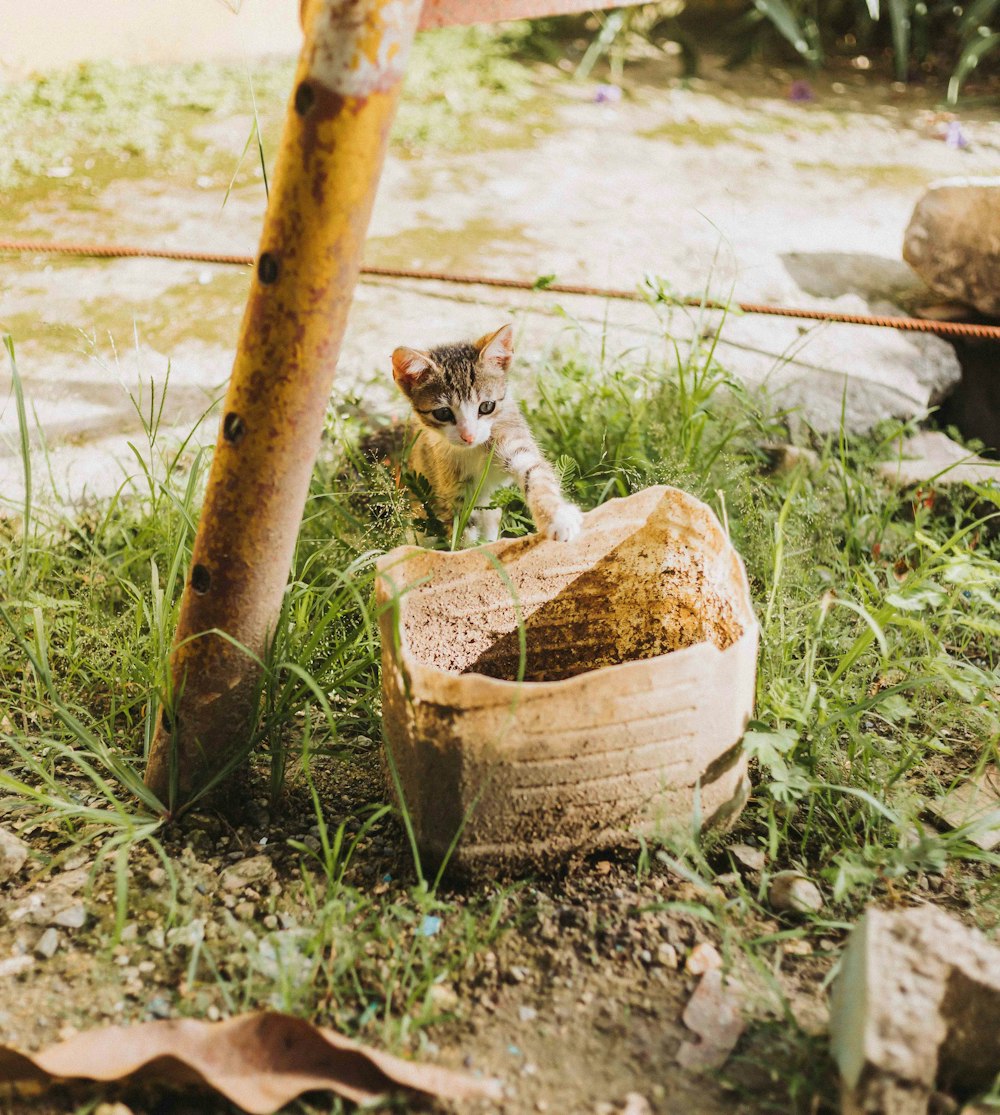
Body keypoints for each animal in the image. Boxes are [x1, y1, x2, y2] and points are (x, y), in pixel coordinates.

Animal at [385, 323, 579, 544]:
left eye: (487, 406)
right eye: (443, 413)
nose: (468, 436)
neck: (475, 450)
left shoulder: (512, 438)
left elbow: (536, 475)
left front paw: (558, 517)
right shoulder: (451, 490)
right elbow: (463, 532)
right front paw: (468, 550)